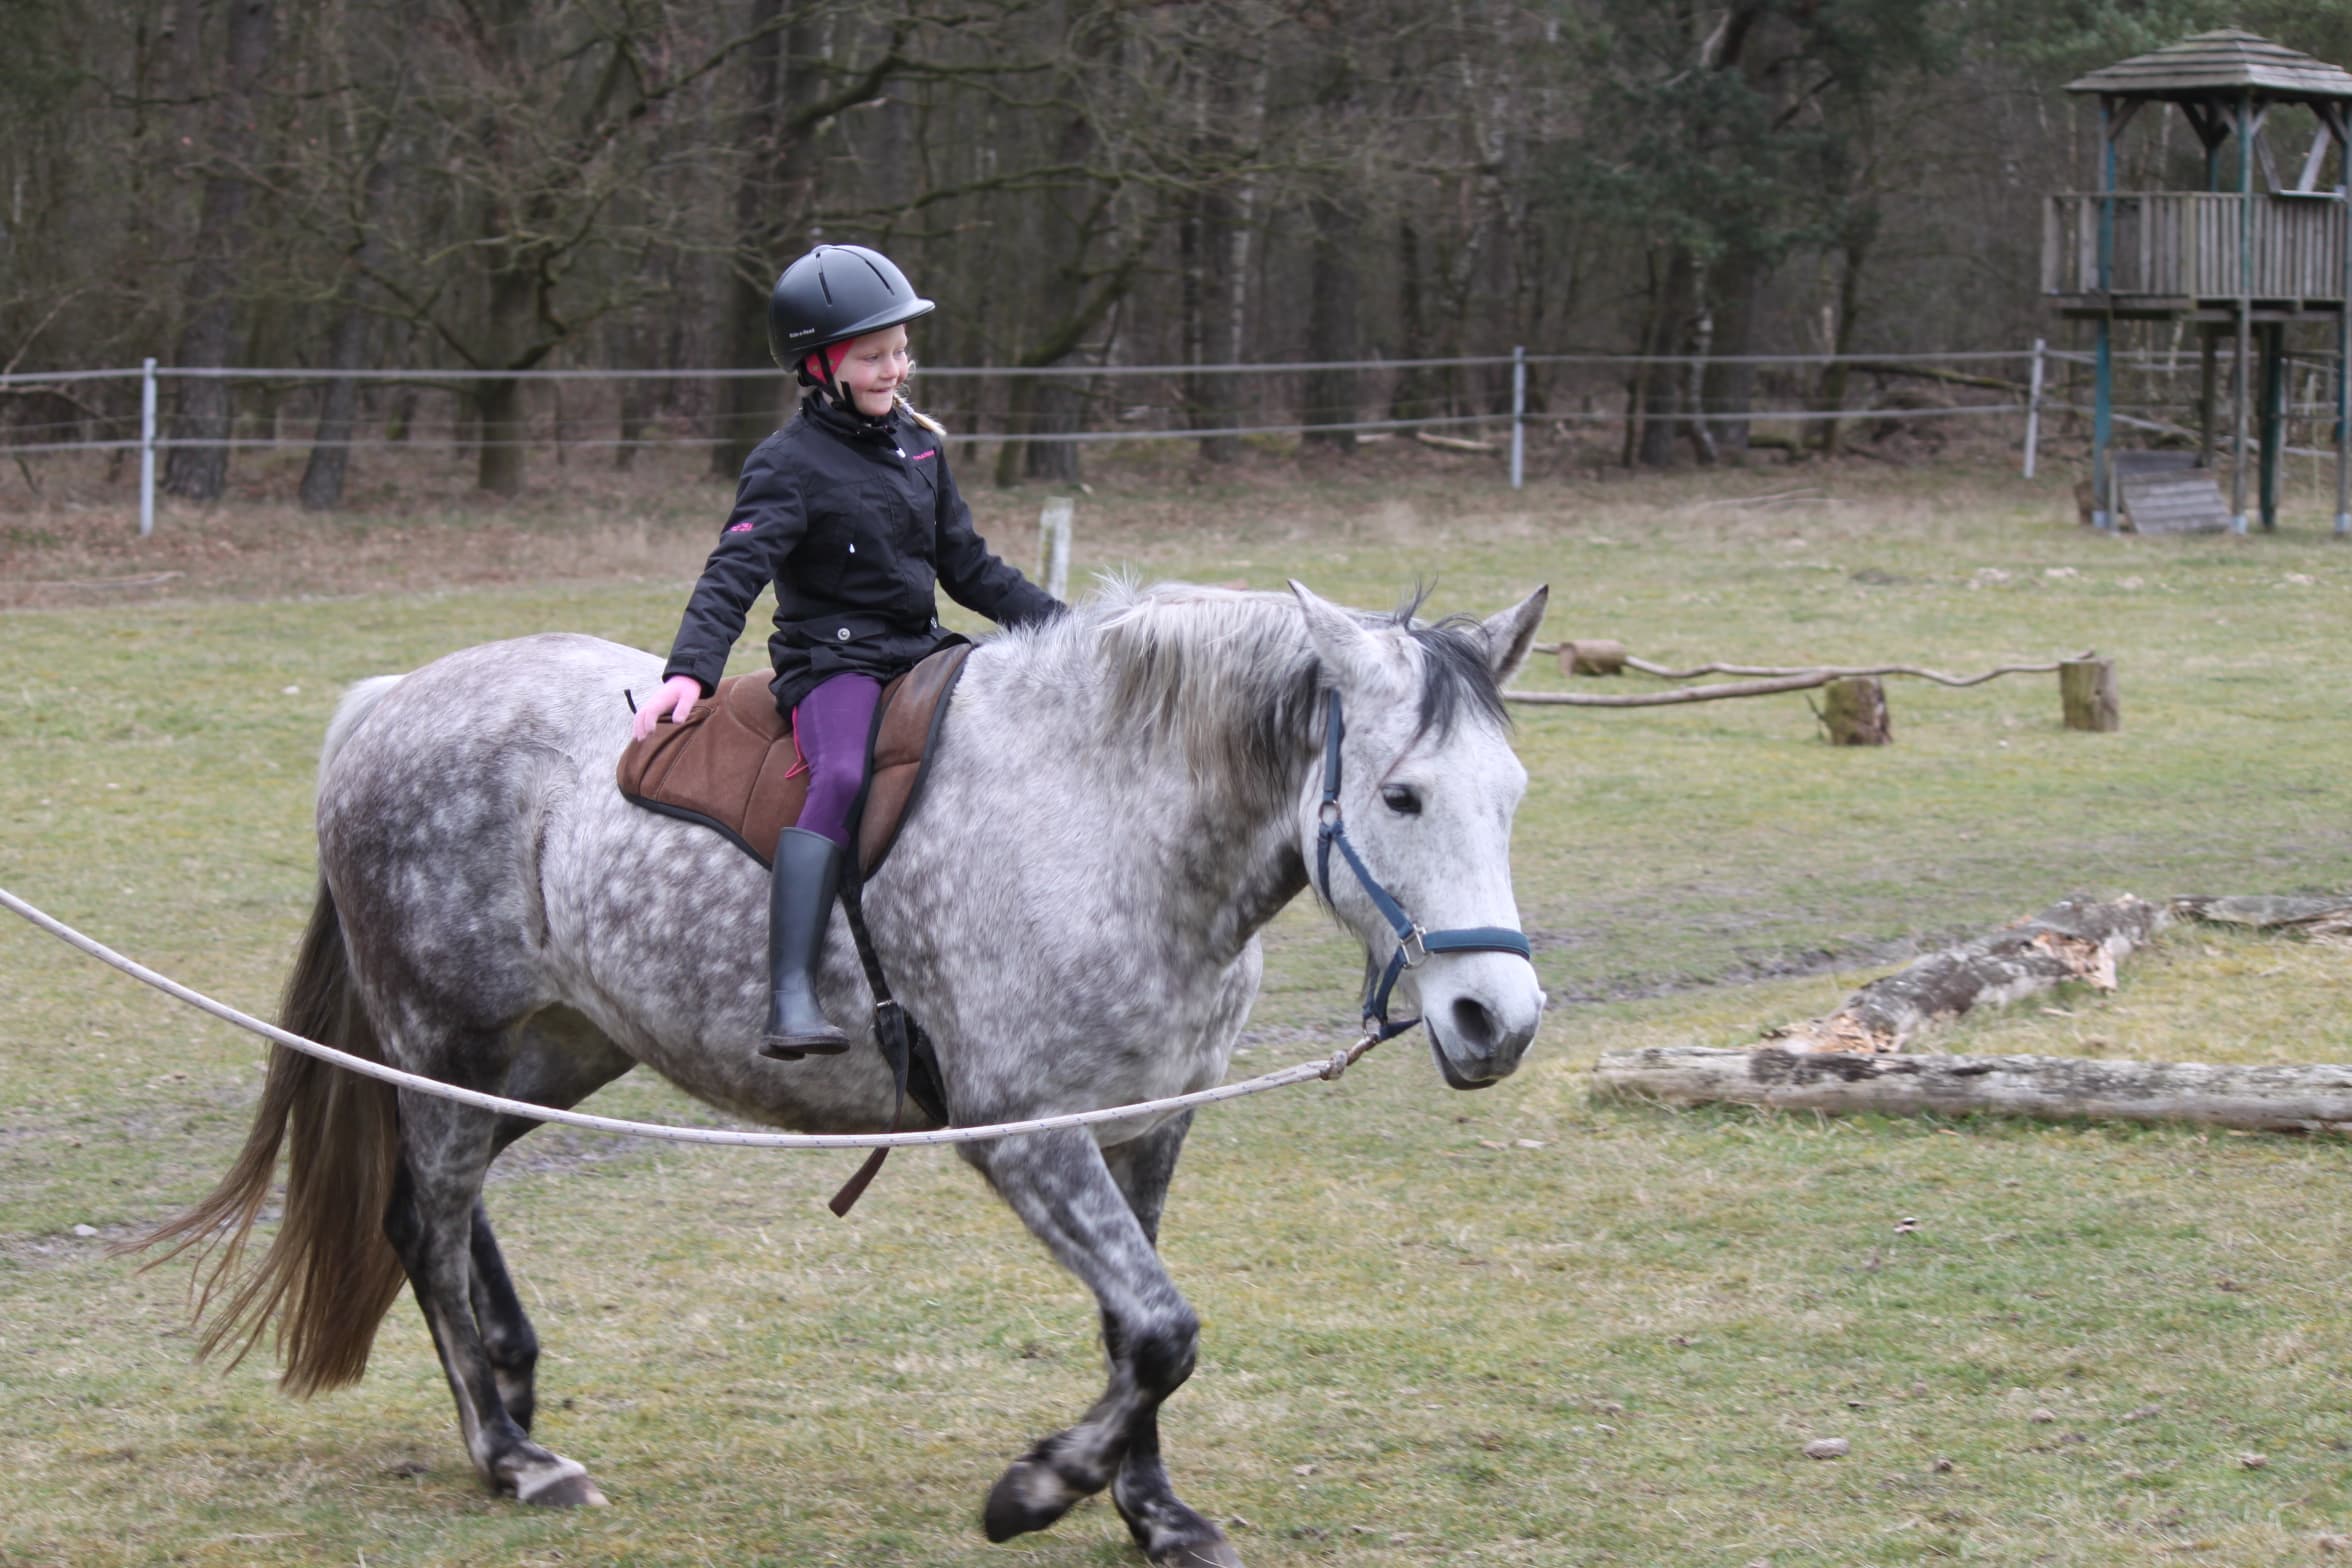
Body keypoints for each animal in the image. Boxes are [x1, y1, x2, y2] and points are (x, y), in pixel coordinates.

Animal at [144, 578, 1550, 1568]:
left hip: (555, 1046)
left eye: (1513, 791)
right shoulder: (1027, 1135)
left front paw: (1153, 1509)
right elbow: (1161, 1329)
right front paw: (1033, 1490)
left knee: (458, 1191)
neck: (1105, 824)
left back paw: (514, 1369)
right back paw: (509, 1452)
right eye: (1403, 795)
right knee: (422, 1220)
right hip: (447, 1044)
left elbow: (1139, 1328)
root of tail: (387, 700)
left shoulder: (1147, 1126)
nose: (1499, 1017)